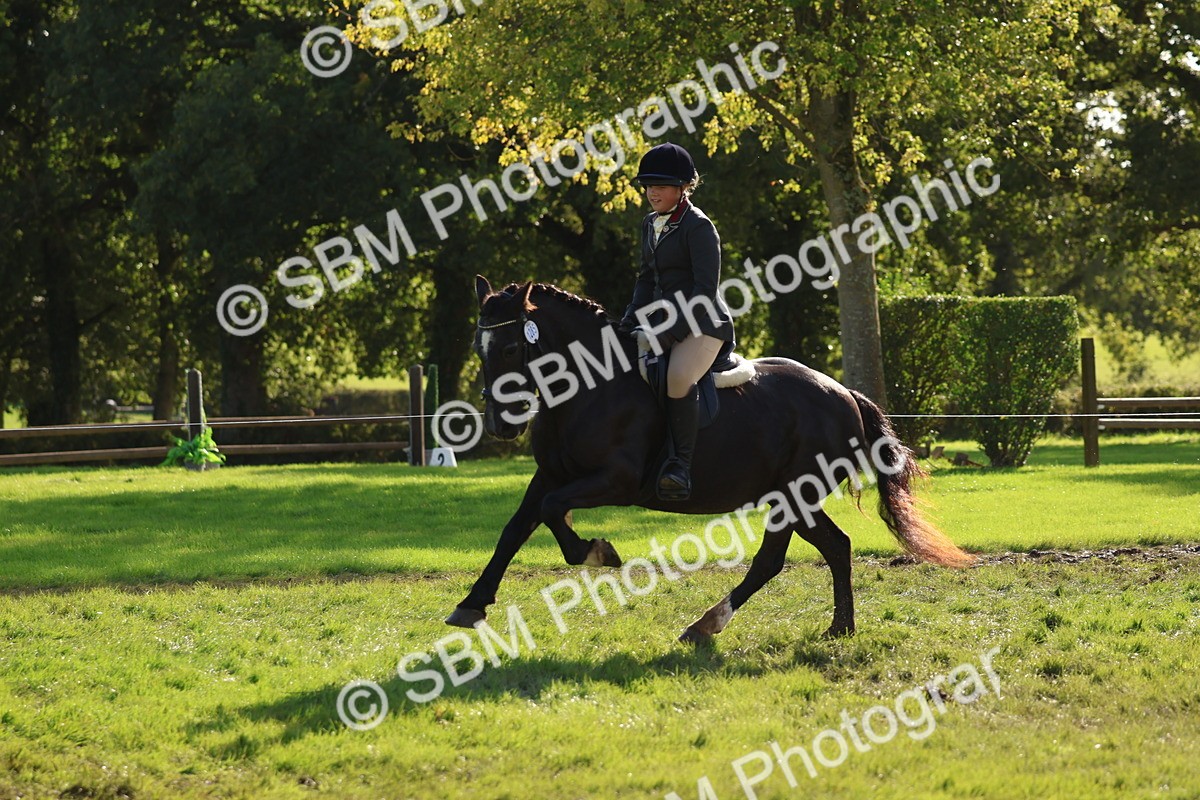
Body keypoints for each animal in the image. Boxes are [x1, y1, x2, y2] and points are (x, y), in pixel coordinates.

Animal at [445, 276, 973, 642]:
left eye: (511, 347)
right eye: (478, 348)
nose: (500, 426)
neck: (588, 387)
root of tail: (844, 394)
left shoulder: (615, 479)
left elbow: (554, 511)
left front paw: (596, 551)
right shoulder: (551, 473)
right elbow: (517, 527)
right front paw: (472, 604)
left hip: (794, 495)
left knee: (774, 559)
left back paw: (709, 624)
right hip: (792, 497)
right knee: (834, 547)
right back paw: (835, 627)